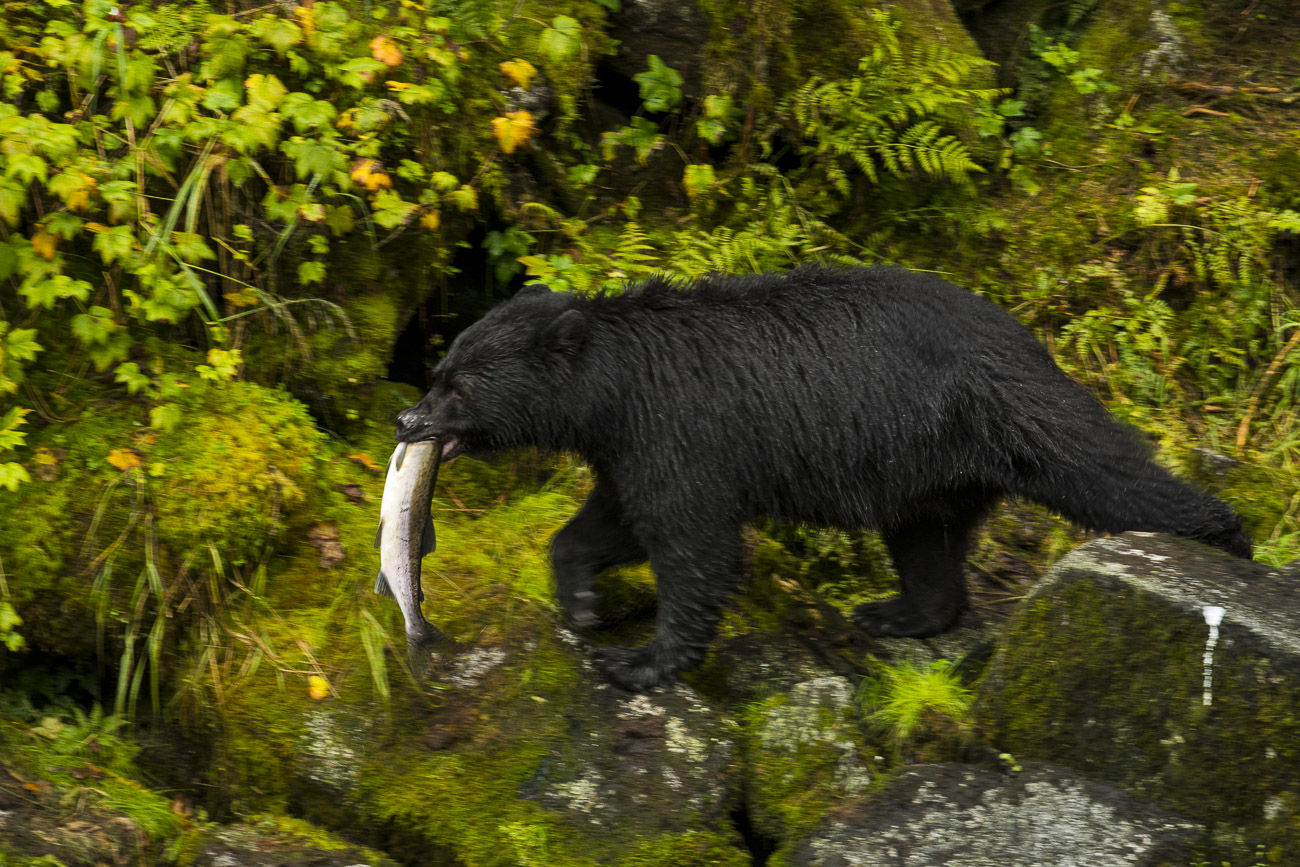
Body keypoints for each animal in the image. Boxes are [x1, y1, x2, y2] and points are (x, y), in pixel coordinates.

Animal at [395, 265, 1248, 691]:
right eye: (438, 372)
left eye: (458, 386)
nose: (408, 422)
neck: (618, 385)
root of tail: (1027, 338)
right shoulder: (632, 444)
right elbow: (616, 518)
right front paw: (580, 599)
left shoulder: (682, 429)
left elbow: (693, 542)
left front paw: (642, 661)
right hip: (926, 469)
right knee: (926, 543)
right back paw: (899, 611)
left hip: (1009, 416)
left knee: (1106, 471)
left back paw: (1225, 537)